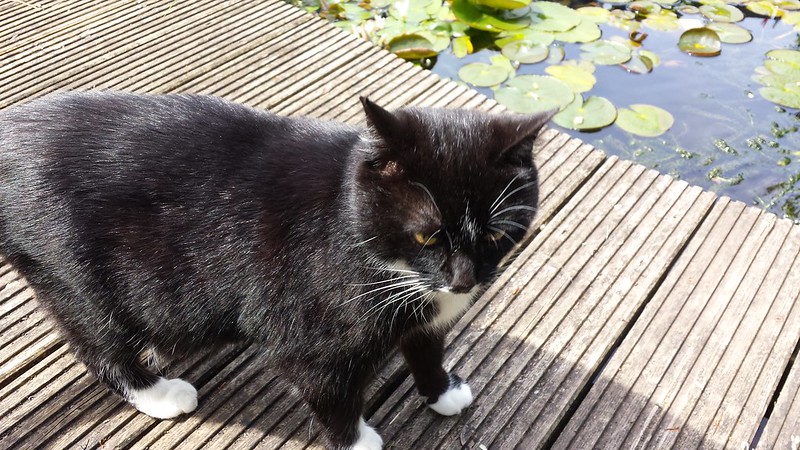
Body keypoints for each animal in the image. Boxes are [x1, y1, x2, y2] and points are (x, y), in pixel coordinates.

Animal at [0, 91, 552, 450]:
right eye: (425, 236)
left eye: (496, 236)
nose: (464, 281)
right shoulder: (309, 336)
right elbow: (327, 391)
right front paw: (356, 441)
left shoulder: (425, 313)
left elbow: (426, 345)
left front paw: (442, 390)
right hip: (74, 273)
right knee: (97, 342)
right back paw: (156, 391)